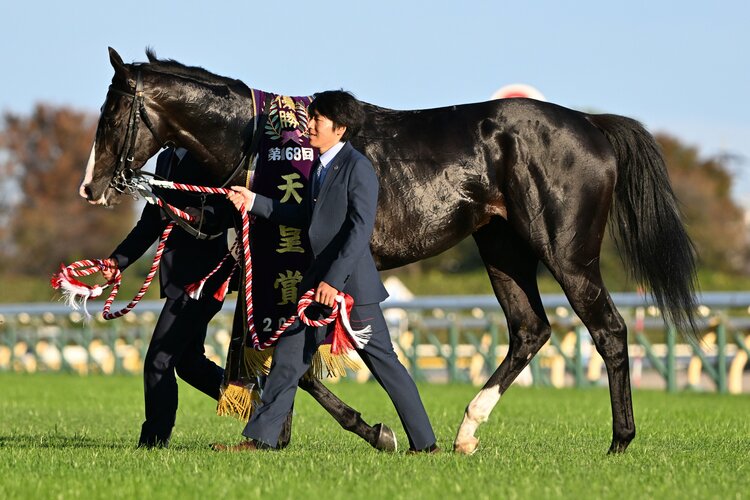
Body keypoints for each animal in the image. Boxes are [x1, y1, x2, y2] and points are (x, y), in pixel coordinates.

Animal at [82, 48, 700, 456]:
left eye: (112, 113)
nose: (91, 186)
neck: (265, 145)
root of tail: (591, 125)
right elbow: (288, 363)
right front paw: (282, 431)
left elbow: (293, 366)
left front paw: (364, 430)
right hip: (501, 247)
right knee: (530, 329)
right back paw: (467, 432)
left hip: (566, 253)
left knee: (608, 330)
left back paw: (620, 441)